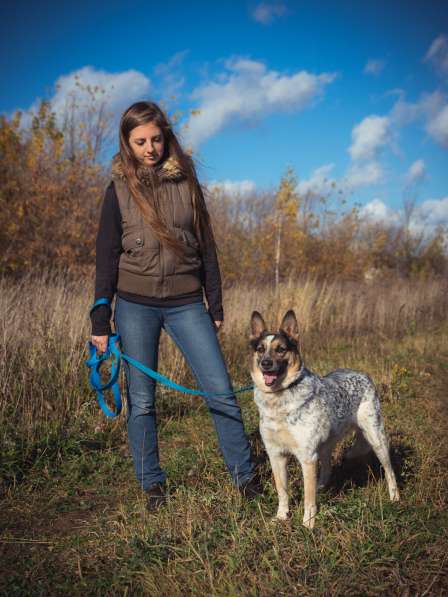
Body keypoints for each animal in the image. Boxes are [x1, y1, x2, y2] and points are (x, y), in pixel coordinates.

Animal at [250, 308, 400, 528]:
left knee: (389, 470)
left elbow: (308, 498)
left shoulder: (307, 457)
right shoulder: (276, 455)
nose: (265, 364)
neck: (280, 398)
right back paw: (322, 486)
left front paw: (308, 524)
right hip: (325, 445)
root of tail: (363, 374)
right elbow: (282, 492)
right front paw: (281, 516)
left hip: (376, 439)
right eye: (260, 349)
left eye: (281, 349)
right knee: (327, 468)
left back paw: (394, 496)